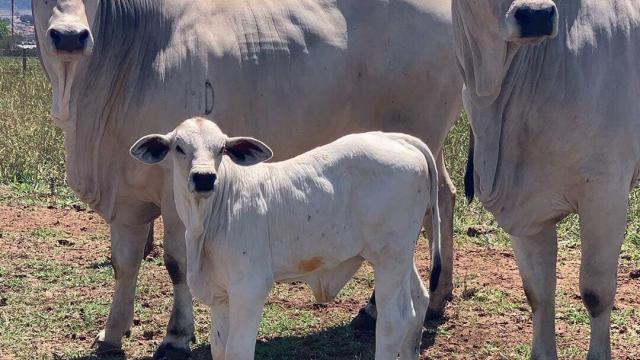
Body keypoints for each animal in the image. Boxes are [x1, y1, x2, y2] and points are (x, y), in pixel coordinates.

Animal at [129, 116, 440, 358]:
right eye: (179, 147)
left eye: (221, 149)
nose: (204, 178)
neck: (205, 223)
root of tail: (398, 139)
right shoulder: (220, 296)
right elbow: (220, 349)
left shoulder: (249, 289)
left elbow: (237, 350)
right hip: (400, 256)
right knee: (418, 305)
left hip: (390, 258)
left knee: (394, 320)